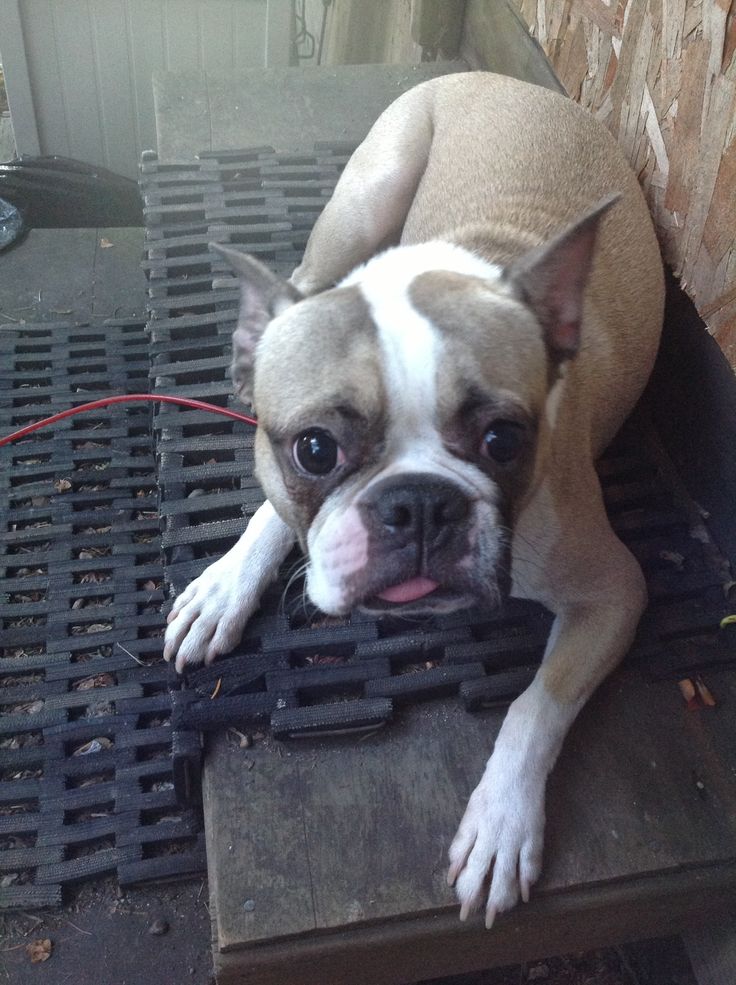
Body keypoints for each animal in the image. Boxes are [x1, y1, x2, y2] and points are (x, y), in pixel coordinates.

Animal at [164, 73, 664, 928]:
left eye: (503, 440)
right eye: (314, 449)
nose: (420, 504)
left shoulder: (614, 591)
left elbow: (535, 703)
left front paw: (501, 820)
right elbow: (273, 510)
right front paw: (228, 581)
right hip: (365, 200)